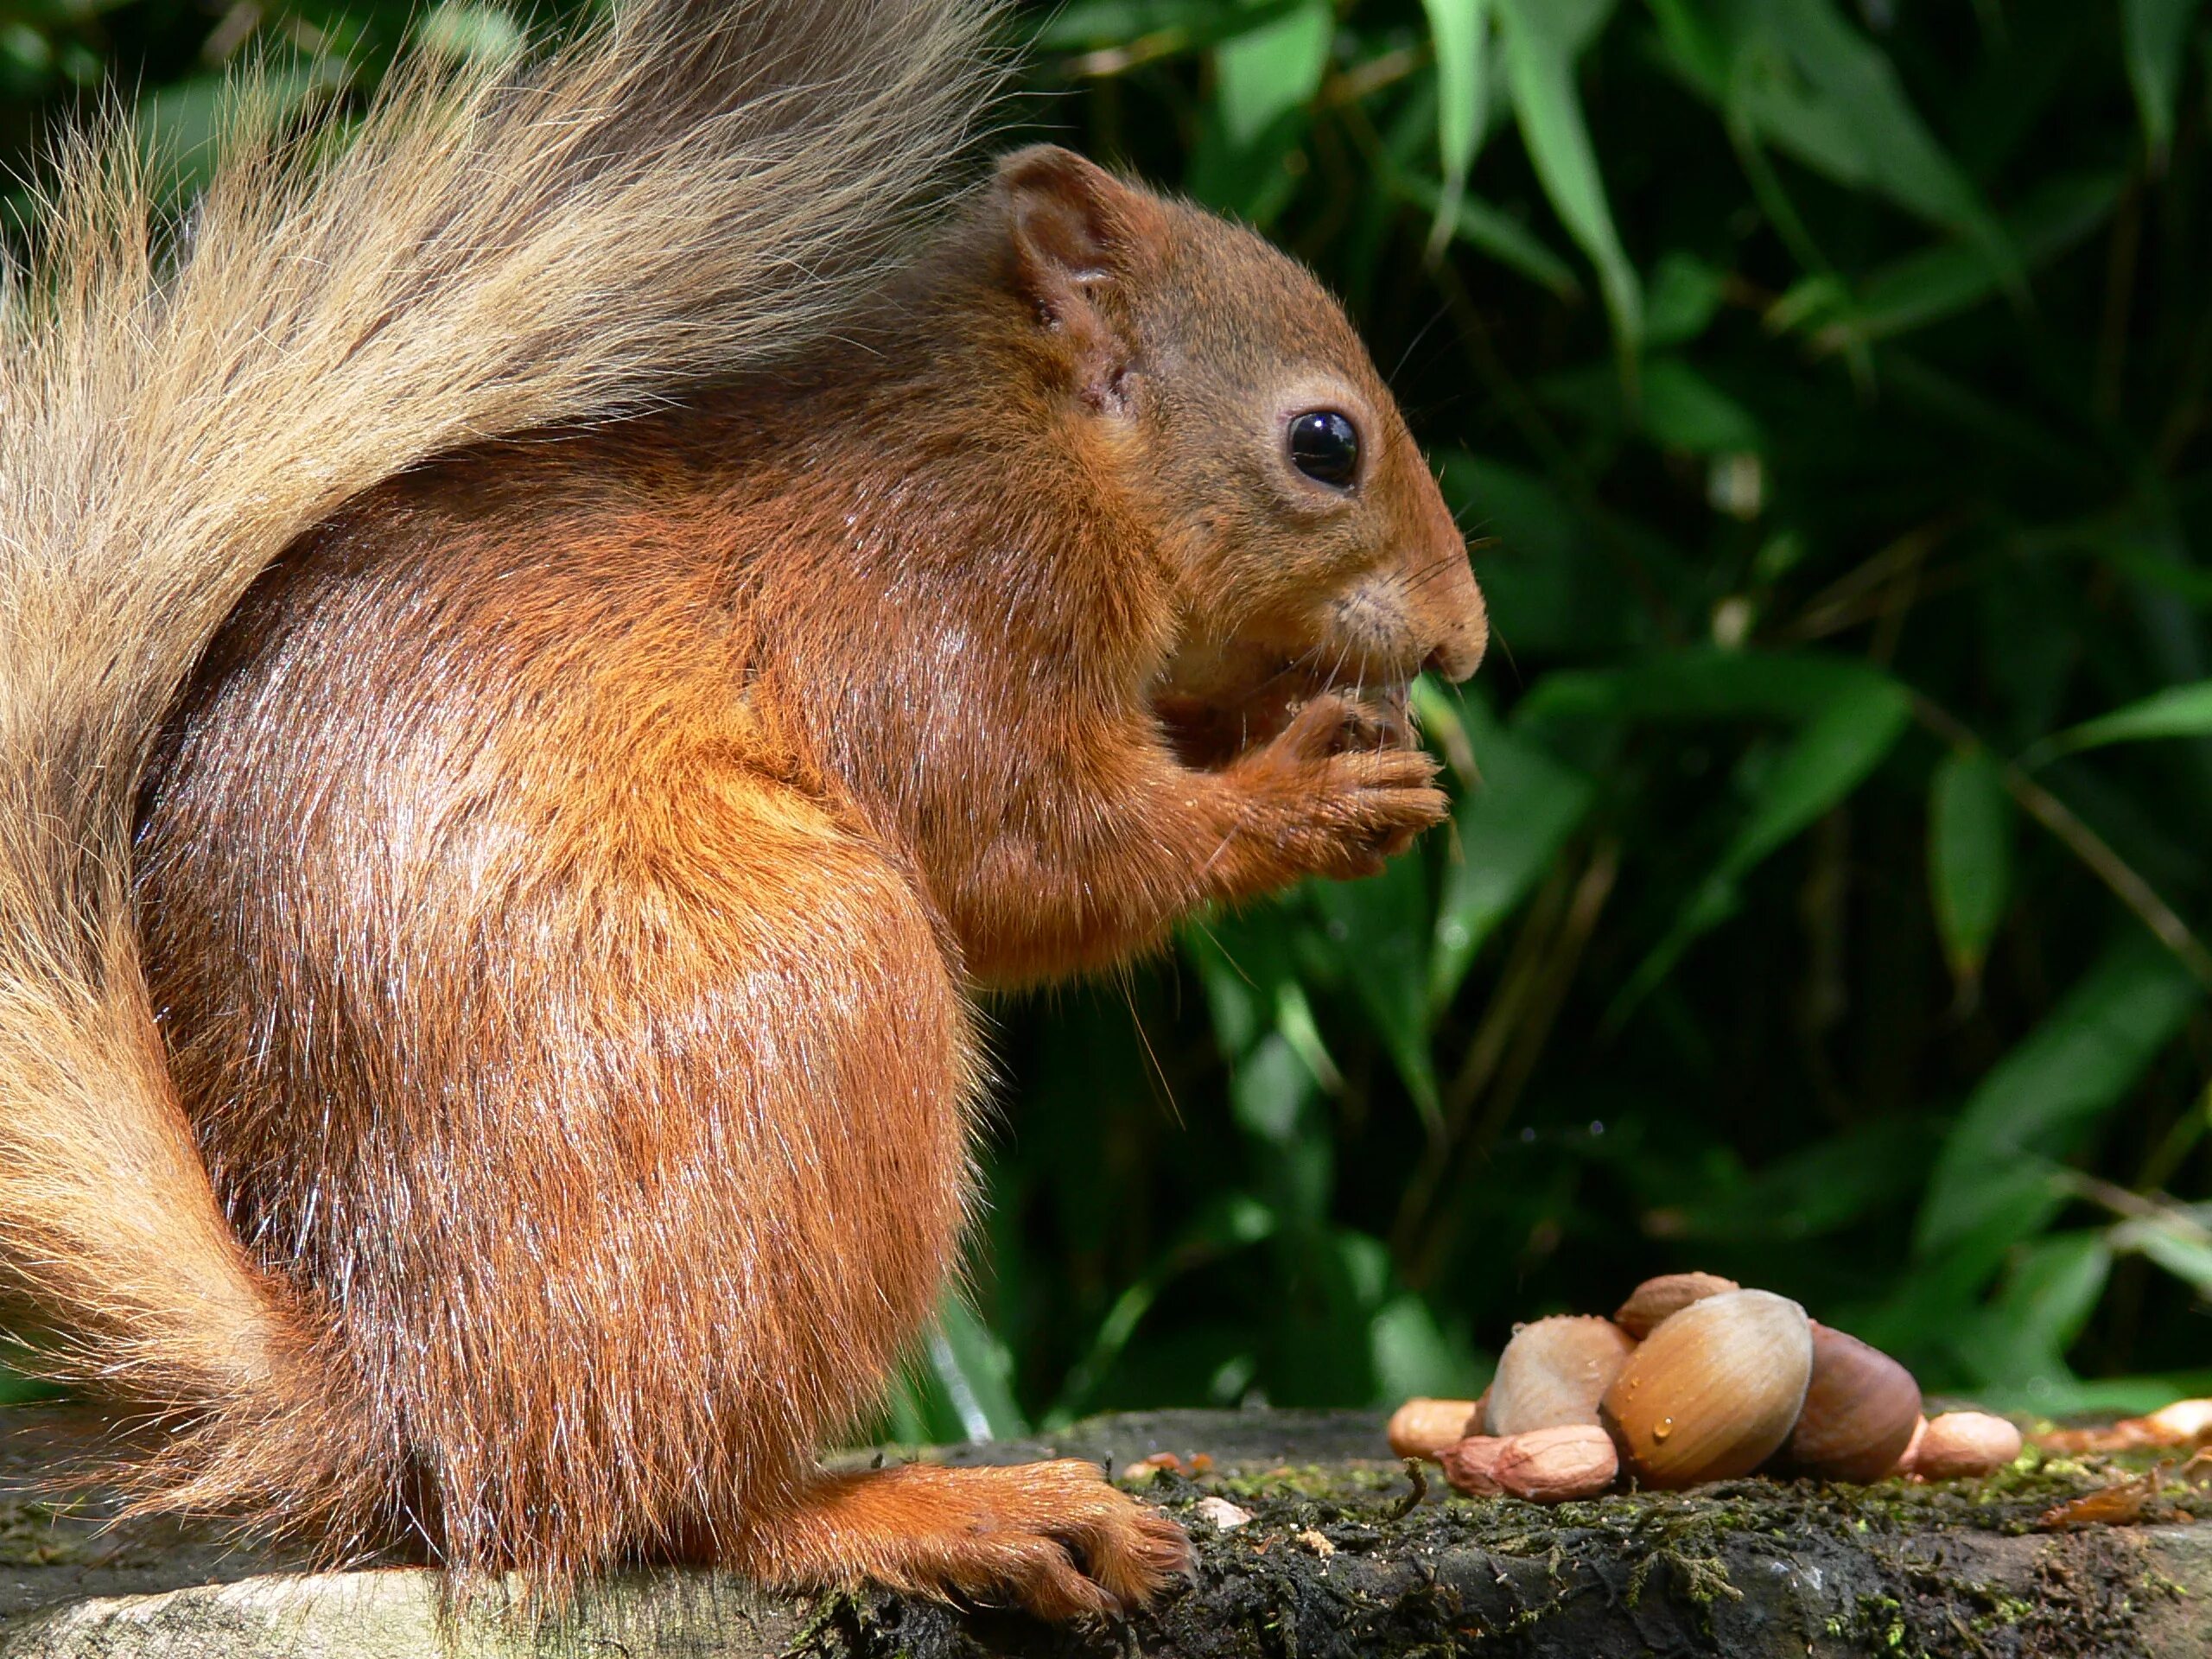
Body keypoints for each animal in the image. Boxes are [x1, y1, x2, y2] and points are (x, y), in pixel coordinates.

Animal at [4, 0, 1486, 1628]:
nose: (1470, 641)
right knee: (665, 1502)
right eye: (1326, 444)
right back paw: (944, 1514)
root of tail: (406, 1397)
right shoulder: (941, 611)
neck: (1027, 439)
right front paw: (1312, 792)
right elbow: (1040, 858)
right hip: (824, 1000)